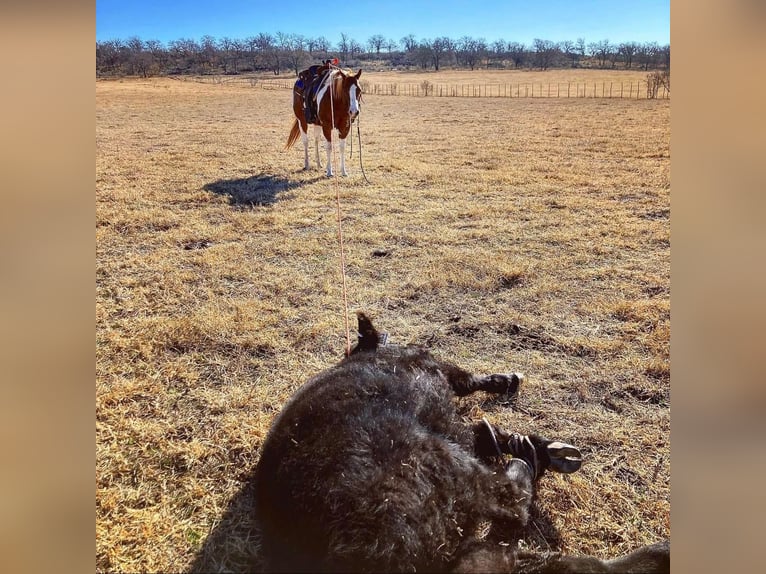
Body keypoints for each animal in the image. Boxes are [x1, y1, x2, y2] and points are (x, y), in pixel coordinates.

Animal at [254, 316, 672, 574]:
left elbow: (480, 427)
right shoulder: (441, 374)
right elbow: (470, 383)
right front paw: (511, 394)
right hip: (444, 467)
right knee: (512, 502)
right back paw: (524, 460)